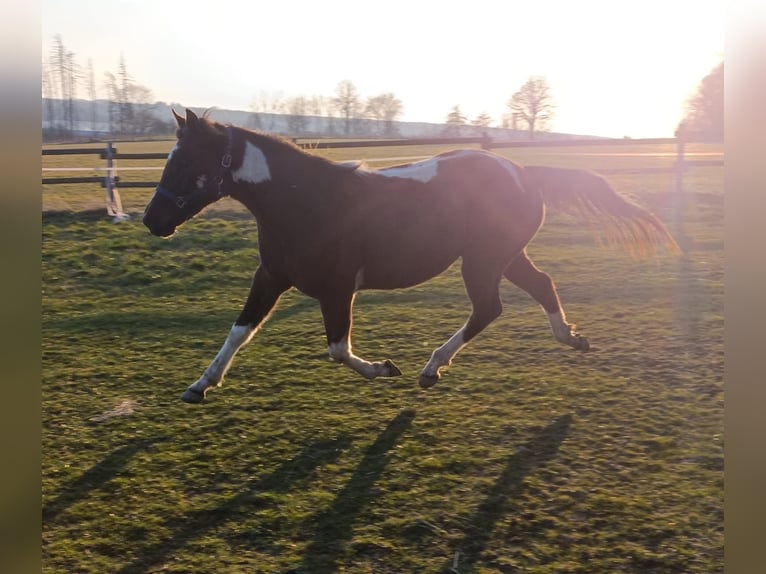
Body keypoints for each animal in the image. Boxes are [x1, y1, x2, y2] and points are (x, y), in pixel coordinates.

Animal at [143, 109, 680, 403]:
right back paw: (571, 339)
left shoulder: (337, 289)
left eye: (186, 162)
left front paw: (385, 369)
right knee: (542, 284)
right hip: (505, 256)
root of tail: (523, 172)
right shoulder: (272, 276)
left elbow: (337, 349)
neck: (306, 202)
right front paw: (200, 385)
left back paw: (431, 368)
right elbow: (239, 331)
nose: (151, 220)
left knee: (490, 308)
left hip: (483, 261)